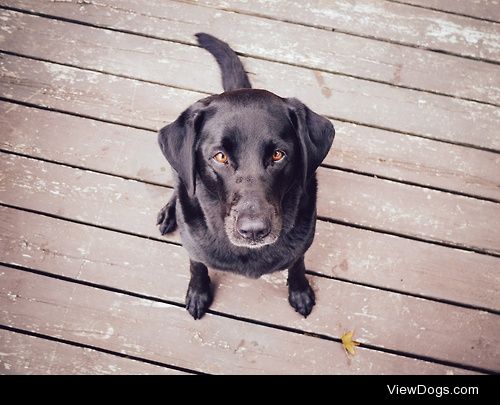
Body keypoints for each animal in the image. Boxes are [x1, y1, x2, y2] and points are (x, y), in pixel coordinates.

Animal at [158, 33, 334, 318]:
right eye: (220, 156)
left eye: (278, 155)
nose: (254, 231)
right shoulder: (194, 247)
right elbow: (197, 265)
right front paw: (198, 292)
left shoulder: (303, 243)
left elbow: (297, 264)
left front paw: (299, 291)